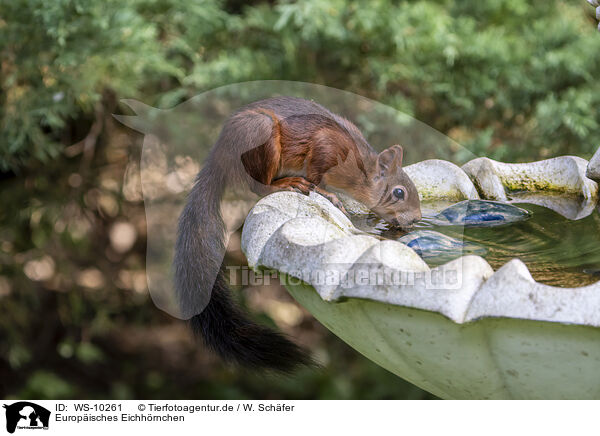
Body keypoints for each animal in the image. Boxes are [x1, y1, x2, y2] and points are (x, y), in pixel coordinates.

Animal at [173, 96, 422, 372]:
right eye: (399, 193)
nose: (417, 218)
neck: (355, 168)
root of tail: (219, 155)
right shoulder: (326, 146)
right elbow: (316, 172)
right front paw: (328, 194)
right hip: (260, 133)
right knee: (258, 185)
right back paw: (286, 183)